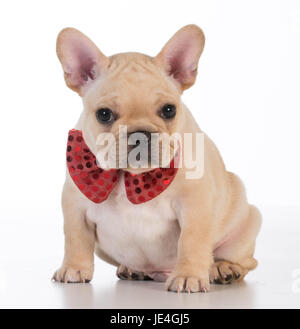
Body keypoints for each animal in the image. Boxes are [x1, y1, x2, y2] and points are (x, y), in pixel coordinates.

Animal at [52, 25, 262, 292]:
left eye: (169, 110)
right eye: (104, 114)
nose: (140, 133)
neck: (132, 178)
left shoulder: (195, 205)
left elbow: (192, 242)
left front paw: (188, 276)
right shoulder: (75, 205)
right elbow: (75, 239)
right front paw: (74, 268)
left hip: (247, 225)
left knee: (244, 262)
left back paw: (223, 268)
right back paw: (132, 269)